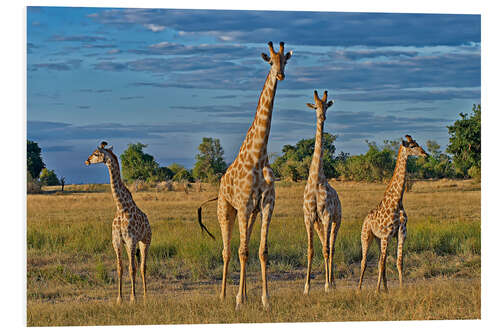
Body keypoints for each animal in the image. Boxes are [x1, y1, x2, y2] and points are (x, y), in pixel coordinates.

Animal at [85, 141, 151, 302]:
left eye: (96, 153)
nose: (87, 161)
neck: (121, 207)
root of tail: (148, 220)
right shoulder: (117, 241)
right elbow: (120, 268)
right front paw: (119, 299)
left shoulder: (131, 240)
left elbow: (132, 269)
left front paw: (133, 298)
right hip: (130, 245)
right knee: (136, 265)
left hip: (145, 241)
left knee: (142, 267)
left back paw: (145, 296)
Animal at [197, 41, 292, 308]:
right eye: (270, 61)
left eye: (285, 60)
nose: (281, 75)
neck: (258, 155)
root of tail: (220, 182)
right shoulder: (244, 204)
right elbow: (241, 251)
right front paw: (238, 300)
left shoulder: (266, 205)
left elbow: (261, 251)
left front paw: (264, 299)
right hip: (226, 209)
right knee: (228, 250)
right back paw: (224, 295)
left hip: (249, 213)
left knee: (245, 246)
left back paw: (246, 293)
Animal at [358, 134, 428, 292]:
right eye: (412, 145)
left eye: (417, 143)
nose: (425, 154)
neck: (397, 201)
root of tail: (365, 219)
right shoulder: (387, 235)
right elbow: (381, 264)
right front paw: (376, 291)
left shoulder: (401, 233)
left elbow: (399, 262)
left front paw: (400, 289)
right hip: (367, 236)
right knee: (364, 261)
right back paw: (359, 289)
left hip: (378, 239)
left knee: (380, 261)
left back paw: (386, 289)